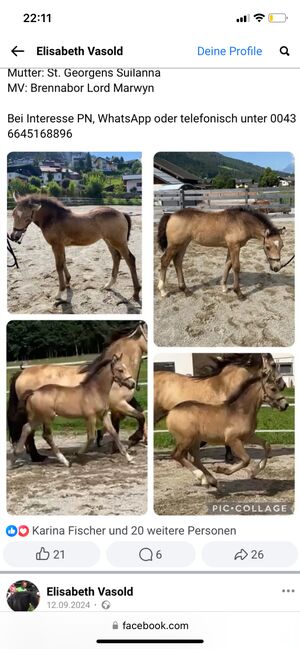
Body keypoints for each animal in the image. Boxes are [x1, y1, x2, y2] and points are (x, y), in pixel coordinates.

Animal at [7, 320, 148, 460]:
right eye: (120, 370)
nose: (132, 384)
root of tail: (21, 373)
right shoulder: (119, 404)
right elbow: (138, 417)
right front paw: (132, 440)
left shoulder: (117, 406)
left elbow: (128, 420)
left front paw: (114, 445)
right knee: (29, 432)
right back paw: (38, 457)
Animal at [9, 194, 141, 302]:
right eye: (13, 214)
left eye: (27, 217)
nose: (14, 236)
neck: (53, 218)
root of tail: (121, 213)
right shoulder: (61, 246)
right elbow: (63, 261)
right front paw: (68, 282)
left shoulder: (56, 245)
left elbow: (58, 266)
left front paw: (59, 293)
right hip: (109, 241)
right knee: (116, 257)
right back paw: (109, 285)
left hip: (119, 242)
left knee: (130, 259)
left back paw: (135, 293)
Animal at [157, 205, 286, 298]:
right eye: (267, 247)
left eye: (282, 246)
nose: (276, 267)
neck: (242, 222)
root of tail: (171, 215)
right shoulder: (234, 246)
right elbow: (236, 267)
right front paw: (239, 293)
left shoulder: (230, 247)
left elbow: (227, 265)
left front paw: (224, 287)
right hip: (174, 245)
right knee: (164, 261)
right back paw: (163, 290)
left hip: (183, 244)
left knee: (177, 261)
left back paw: (185, 289)